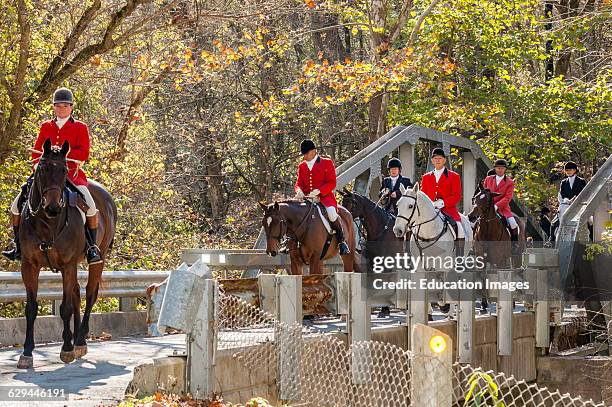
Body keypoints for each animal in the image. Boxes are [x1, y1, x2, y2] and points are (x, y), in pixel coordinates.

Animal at [16, 140, 116, 370]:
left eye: (63, 170)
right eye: (43, 169)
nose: (53, 207)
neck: (47, 223)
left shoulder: (67, 265)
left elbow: (65, 307)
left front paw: (67, 349)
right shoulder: (29, 265)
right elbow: (31, 308)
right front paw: (27, 352)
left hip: (98, 260)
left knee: (89, 294)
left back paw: (79, 341)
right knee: (77, 293)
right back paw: (77, 341)